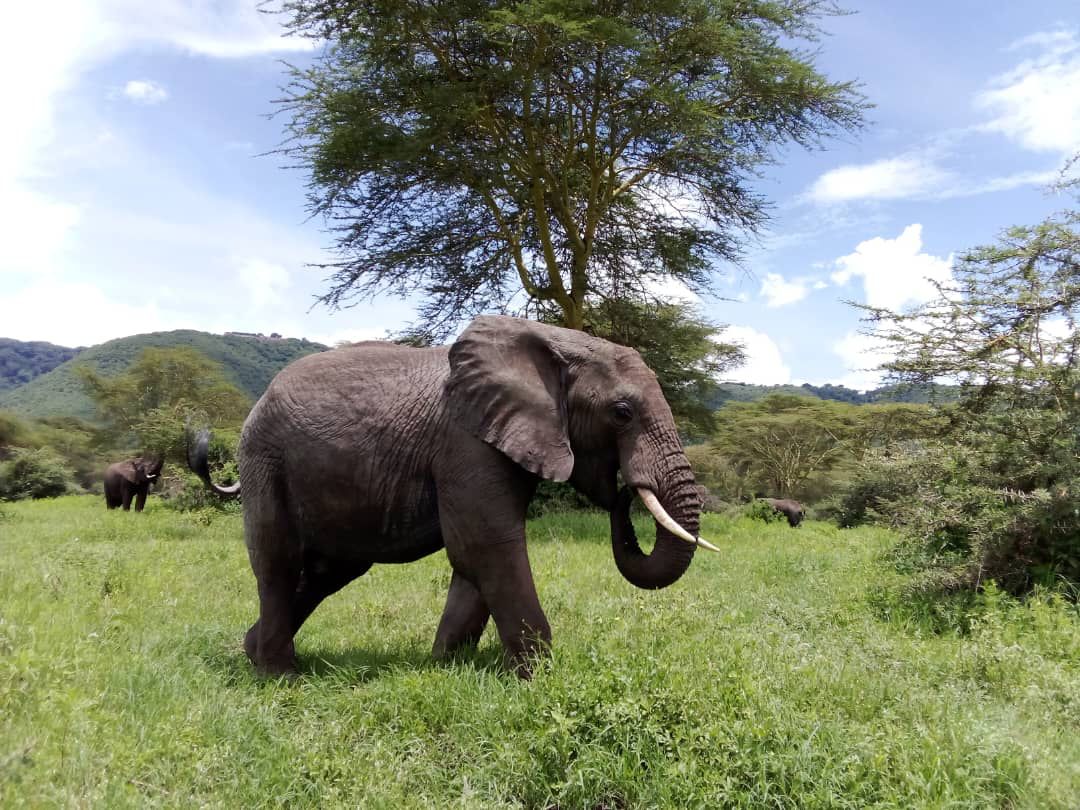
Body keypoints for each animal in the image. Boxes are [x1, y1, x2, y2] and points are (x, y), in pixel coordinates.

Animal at [191, 315, 721, 678]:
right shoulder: (466, 443)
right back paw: (280, 675)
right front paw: (537, 677)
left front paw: (446, 665)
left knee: (328, 573)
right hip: (265, 460)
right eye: (622, 413)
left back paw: (253, 652)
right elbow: (486, 544)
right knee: (277, 562)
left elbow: (473, 561)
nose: (623, 490)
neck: (554, 341)